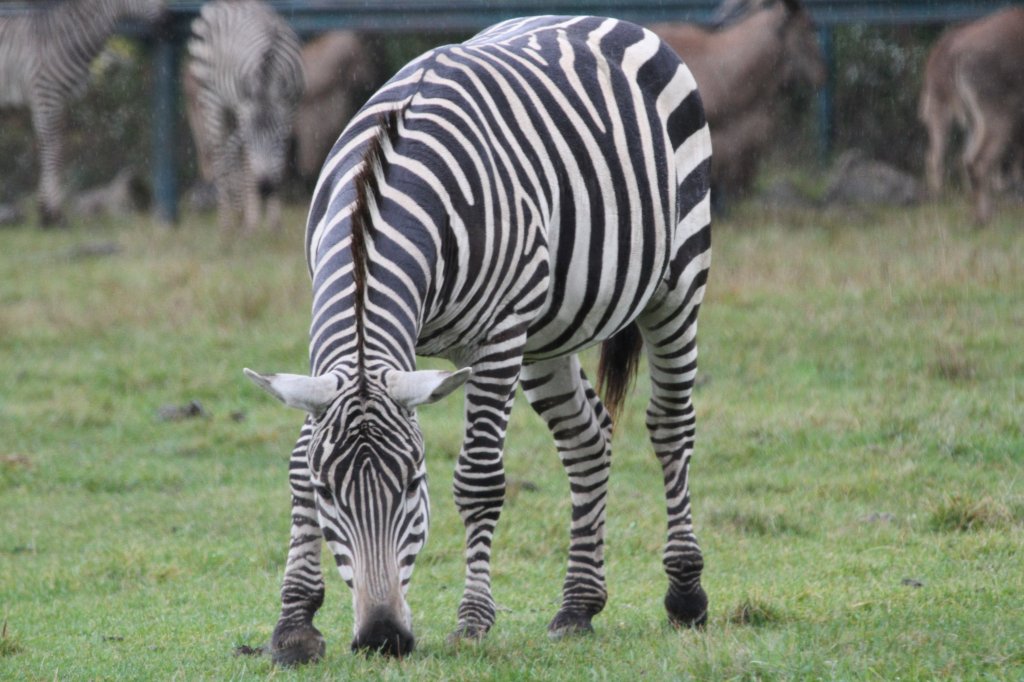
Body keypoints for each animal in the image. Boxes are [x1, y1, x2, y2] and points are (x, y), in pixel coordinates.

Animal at [0, 0, 162, 228]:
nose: (169, 20)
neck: (67, 39)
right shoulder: (46, 96)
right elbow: (53, 150)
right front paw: (51, 215)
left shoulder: (60, 103)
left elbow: (56, 149)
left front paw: (48, 212)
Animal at [187, 0, 301, 232]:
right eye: (252, 137)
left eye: (277, 137)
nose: (265, 188)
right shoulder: (244, 111)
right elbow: (246, 157)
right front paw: (254, 219)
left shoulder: (288, 112)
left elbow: (277, 162)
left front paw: (273, 221)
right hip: (211, 98)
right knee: (221, 155)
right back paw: (228, 223)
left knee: (235, 155)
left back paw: (242, 216)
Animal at [246, 15, 712, 659]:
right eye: (327, 491)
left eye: (414, 484)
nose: (383, 638)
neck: (383, 190)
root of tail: (612, 20)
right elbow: (295, 463)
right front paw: (294, 623)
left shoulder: (496, 335)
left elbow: (480, 480)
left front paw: (472, 621)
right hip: (546, 333)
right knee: (588, 438)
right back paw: (577, 607)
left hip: (677, 281)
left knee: (670, 427)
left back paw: (685, 595)